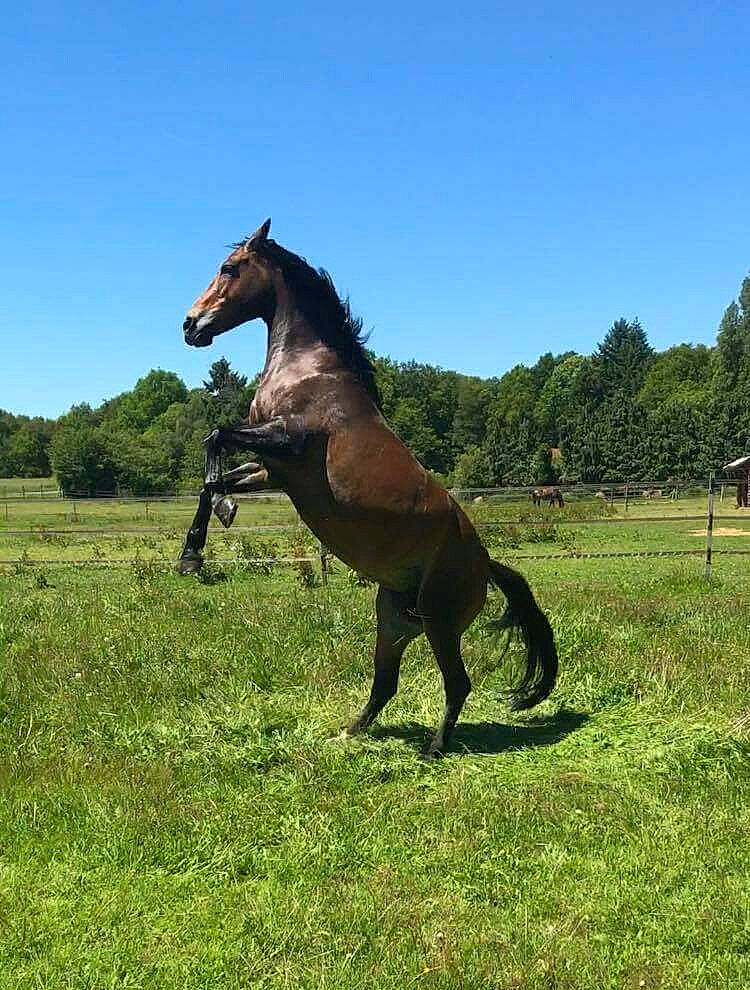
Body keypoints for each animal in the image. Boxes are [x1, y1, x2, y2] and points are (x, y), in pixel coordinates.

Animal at [178, 219, 558, 758]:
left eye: (229, 269)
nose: (190, 325)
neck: (308, 369)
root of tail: (486, 564)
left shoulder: (289, 441)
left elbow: (214, 439)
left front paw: (220, 516)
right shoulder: (275, 470)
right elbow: (209, 484)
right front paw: (193, 552)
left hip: (440, 623)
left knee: (456, 683)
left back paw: (432, 748)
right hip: (393, 620)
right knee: (385, 681)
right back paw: (349, 732)